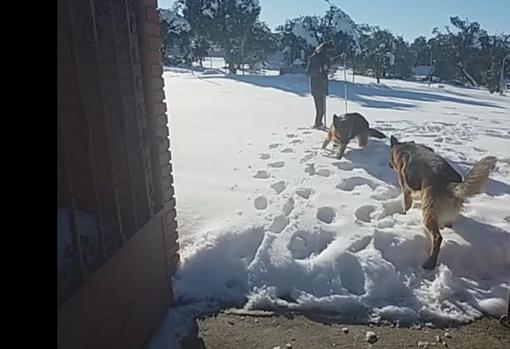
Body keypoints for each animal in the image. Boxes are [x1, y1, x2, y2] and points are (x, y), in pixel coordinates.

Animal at [388, 135, 496, 270]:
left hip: (427, 213)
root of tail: (449, 183)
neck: (405, 147)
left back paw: (430, 263)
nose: (388, 164)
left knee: (438, 237)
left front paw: (404, 215)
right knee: (448, 225)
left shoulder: (406, 191)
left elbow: (406, 206)